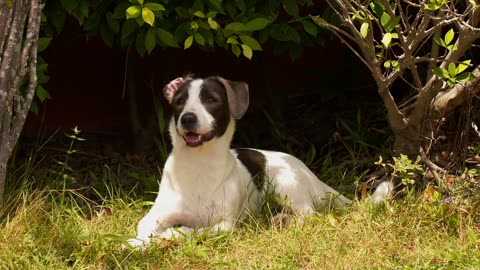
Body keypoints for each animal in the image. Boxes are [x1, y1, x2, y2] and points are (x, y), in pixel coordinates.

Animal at [127, 76, 352, 249]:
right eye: (180, 101)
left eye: (211, 99)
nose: (187, 118)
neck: (198, 164)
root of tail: (315, 179)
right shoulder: (157, 215)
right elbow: (144, 228)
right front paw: (137, 243)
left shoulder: (225, 225)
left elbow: (191, 230)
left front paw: (170, 235)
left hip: (285, 183)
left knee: (308, 213)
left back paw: (283, 220)